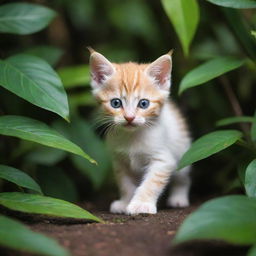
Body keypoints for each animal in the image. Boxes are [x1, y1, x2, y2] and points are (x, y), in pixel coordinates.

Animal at [89, 49, 191, 215]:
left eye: (144, 103)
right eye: (115, 103)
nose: (129, 117)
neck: (132, 137)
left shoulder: (163, 159)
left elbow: (151, 183)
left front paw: (141, 204)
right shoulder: (119, 161)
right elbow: (125, 183)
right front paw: (125, 202)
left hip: (183, 152)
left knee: (183, 177)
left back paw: (178, 198)